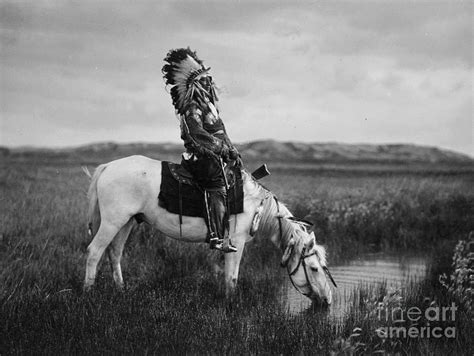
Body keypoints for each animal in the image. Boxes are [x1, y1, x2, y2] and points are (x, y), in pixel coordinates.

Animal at [83, 154, 336, 304]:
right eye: (314, 268)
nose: (328, 300)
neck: (256, 205)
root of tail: (107, 167)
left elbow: (227, 276)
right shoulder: (236, 242)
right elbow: (232, 277)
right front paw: (231, 305)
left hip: (125, 222)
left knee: (114, 253)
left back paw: (121, 290)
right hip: (112, 221)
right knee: (95, 252)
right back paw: (89, 293)